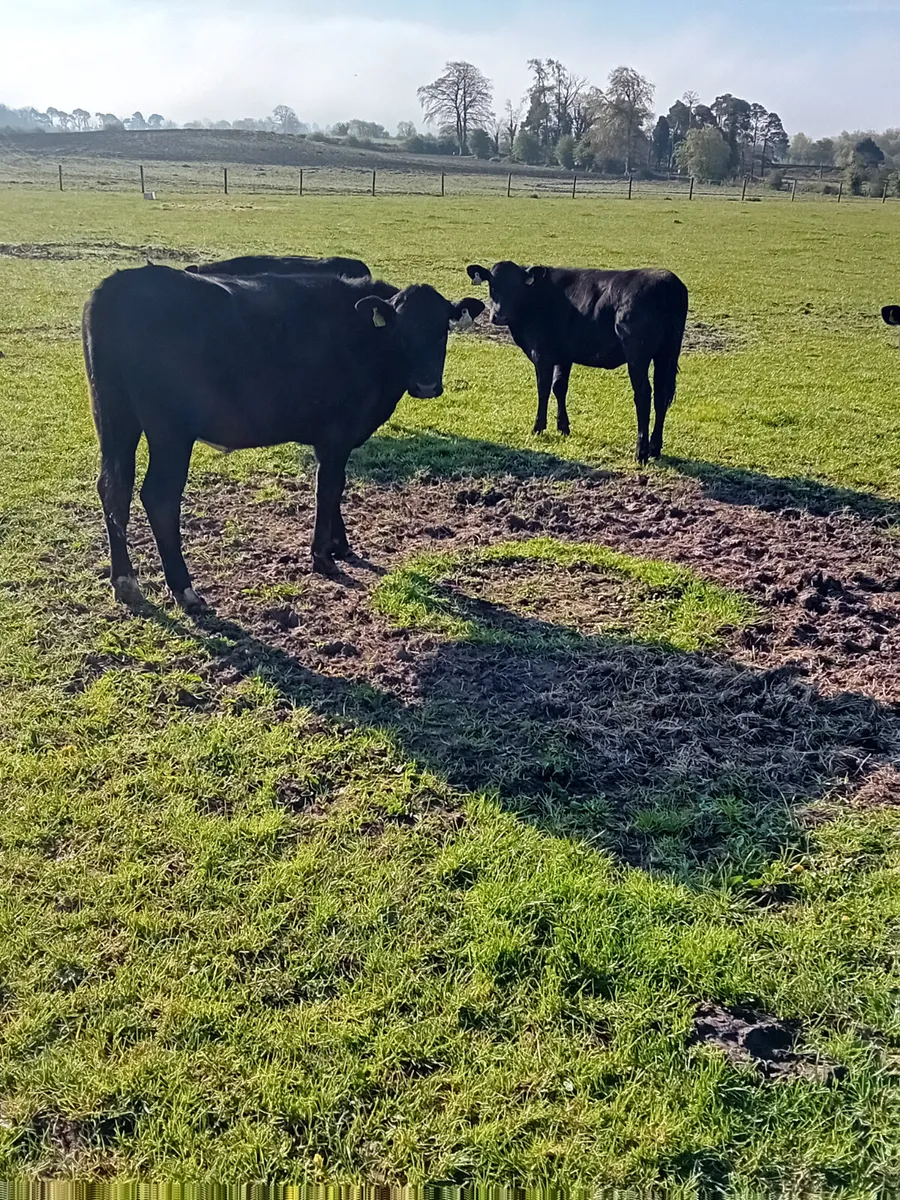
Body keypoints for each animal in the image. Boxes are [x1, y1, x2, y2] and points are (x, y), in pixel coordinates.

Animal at [81, 268, 482, 614]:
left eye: (442, 330)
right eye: (401, 332)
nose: (426, 385)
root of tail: (117, 285)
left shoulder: (330, 440)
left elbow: (335, 489)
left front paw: (340, 545)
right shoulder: (336, 433)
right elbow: (329, 488)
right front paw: (323, 556)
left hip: (115, 417)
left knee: (113, 488)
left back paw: (125, 581)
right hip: (170, 431)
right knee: (159, 497)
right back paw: (185, 589)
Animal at [465, 260, 691, 460]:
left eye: (516, 287)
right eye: (492, 284)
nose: (498, 316)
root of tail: (668, 280)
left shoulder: (542, 355)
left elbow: (543, 388)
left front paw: (538, 427)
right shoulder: (564, 355)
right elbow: (559, 387)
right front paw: (563, 427)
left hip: (638, 355)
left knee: (643, 395)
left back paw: (641, 451)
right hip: (666, 354)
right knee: (662, 396)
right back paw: (654, 448)